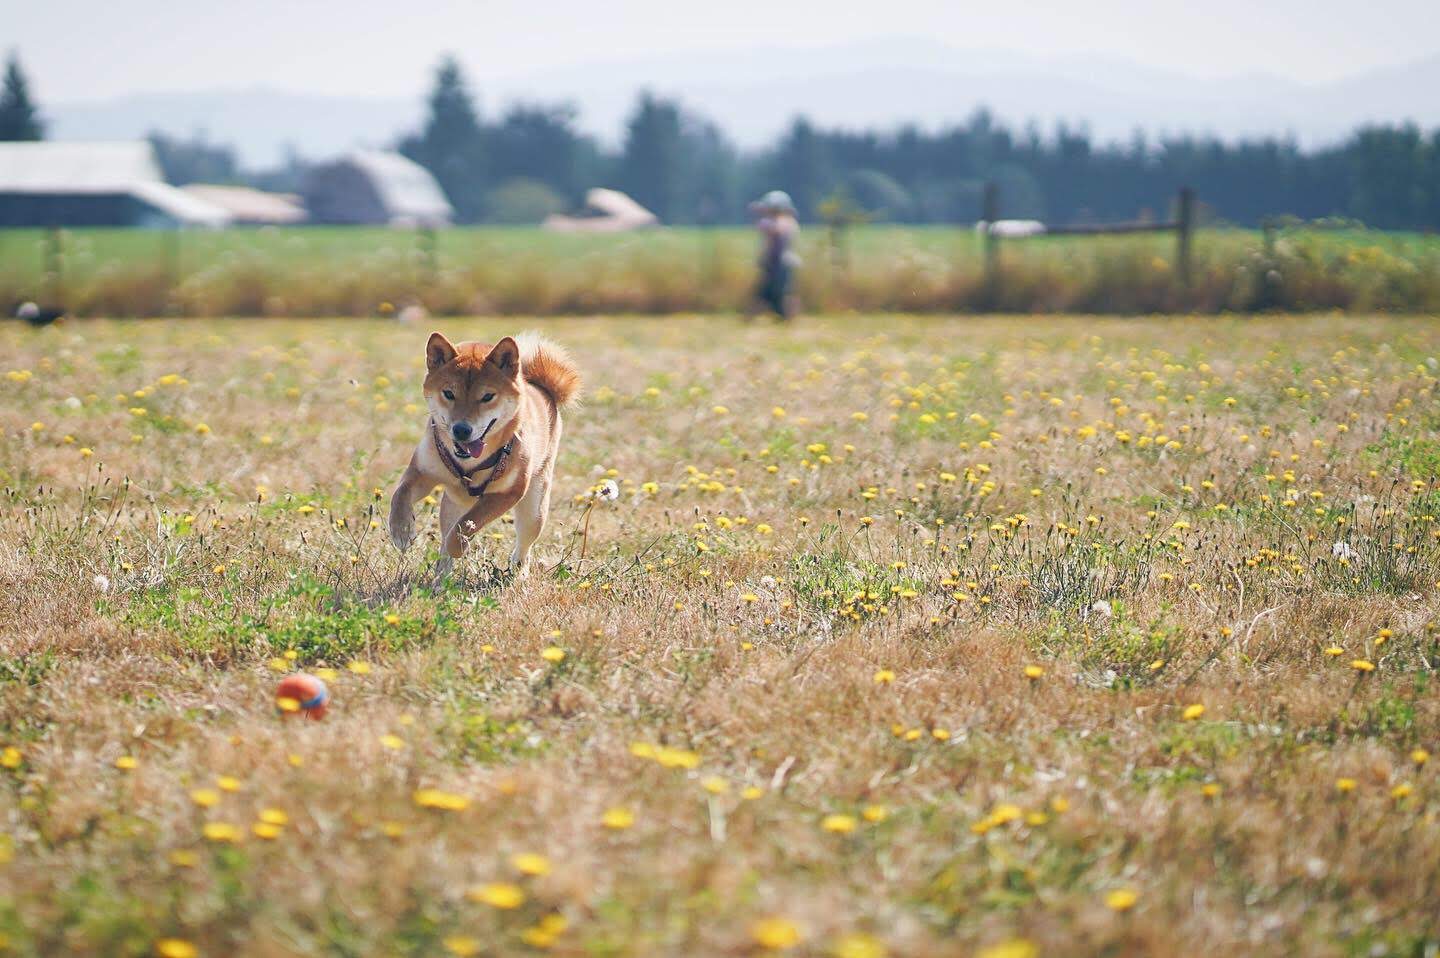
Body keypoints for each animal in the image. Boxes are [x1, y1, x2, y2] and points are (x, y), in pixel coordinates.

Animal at [391, 332, 581, 576]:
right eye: (449, 393)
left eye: (487, 396)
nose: (462, 430)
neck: (469, 464)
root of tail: (544, 390)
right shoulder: (422, 471)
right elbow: (400, 494)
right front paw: (402, 530)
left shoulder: (508, 493)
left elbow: (466, 525)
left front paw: (458, 546)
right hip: (453, 502)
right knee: (448, 529)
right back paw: (440, 578)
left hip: (534, 508)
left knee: (523, 546)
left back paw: (518, 573)